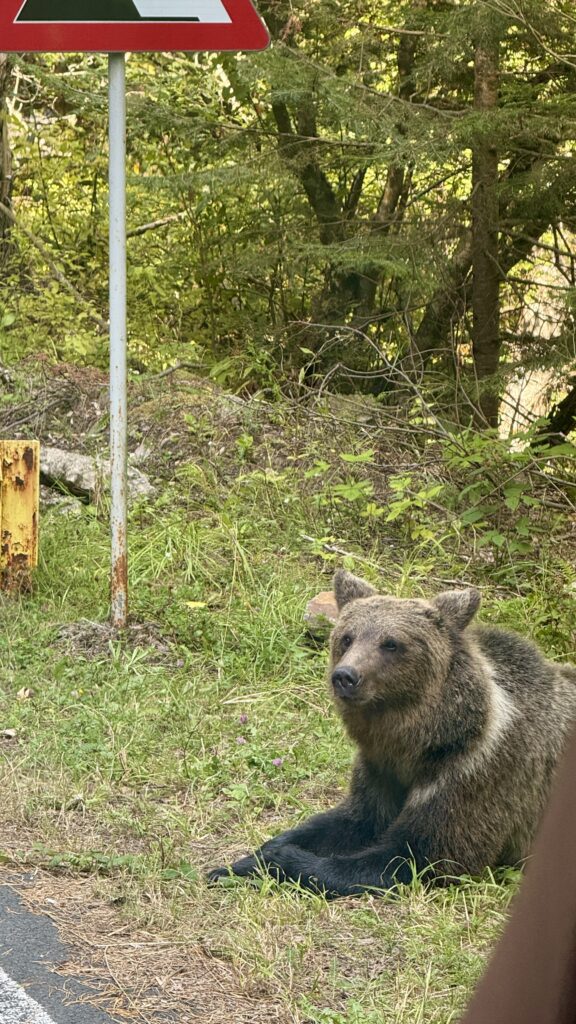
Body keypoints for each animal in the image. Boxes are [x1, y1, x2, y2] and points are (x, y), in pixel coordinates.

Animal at [207, 569, 576, 897]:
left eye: (391, 643)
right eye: (347, 637)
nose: (345, 676)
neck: (420, 744)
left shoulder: (474, 775)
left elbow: (416, 854)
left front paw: (284, 861)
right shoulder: (379, 769)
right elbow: (350, 821)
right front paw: (240, 862)